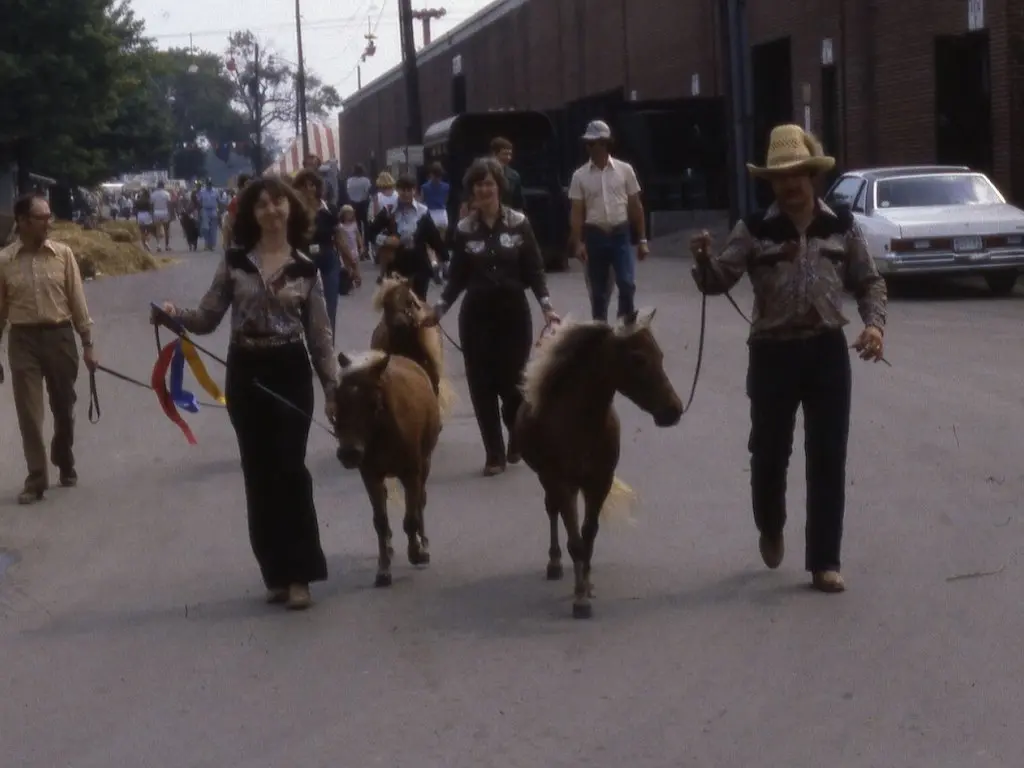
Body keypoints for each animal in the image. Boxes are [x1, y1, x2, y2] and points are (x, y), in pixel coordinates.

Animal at [333, 352, 442, 585]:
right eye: (337, 399)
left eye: (373, 403)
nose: (349, 453)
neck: (383, 430)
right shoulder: (370, 475)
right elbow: (380, 522)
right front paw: (383, 569)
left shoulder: (412, 472)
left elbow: (411, 517)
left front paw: (416, 552)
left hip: (425, 464)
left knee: (420, 502)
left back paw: (423, 543)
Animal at [516, 309, 684, 622]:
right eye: (638, 358)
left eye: (660, 355)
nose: (673, 410)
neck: (581, 422)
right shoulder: (561, 481)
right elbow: (575, 541)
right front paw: (580, 599)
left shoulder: (599, 481)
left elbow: (588, 534)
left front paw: (587, 582)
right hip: (550, 480)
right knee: (552, 511)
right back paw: (554, 563)